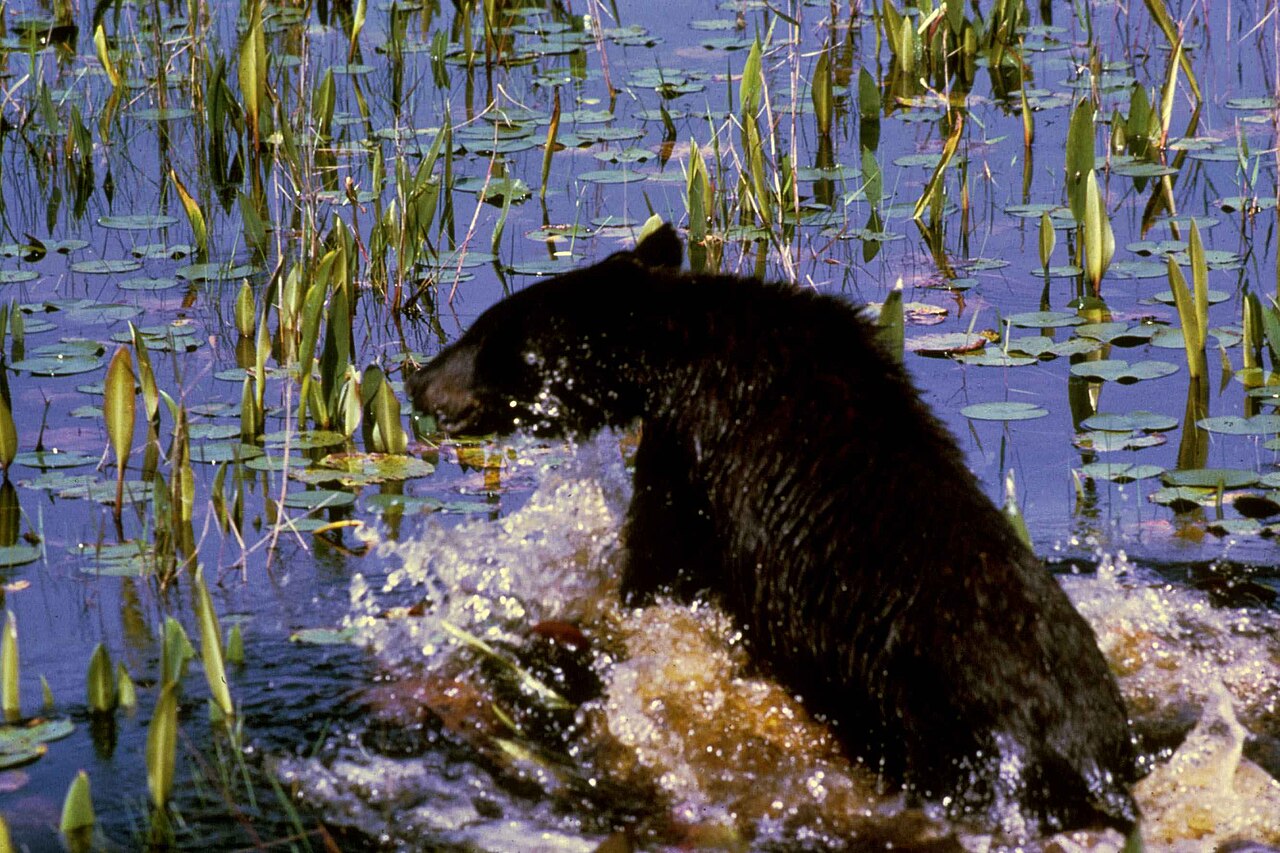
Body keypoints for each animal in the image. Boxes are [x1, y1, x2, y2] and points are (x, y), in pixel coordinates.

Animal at [405, 224, 1139, 840]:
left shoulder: (694, 455)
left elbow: (658, 566)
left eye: (492, 337)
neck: (685, 347)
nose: (417, 381)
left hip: (942, 738)